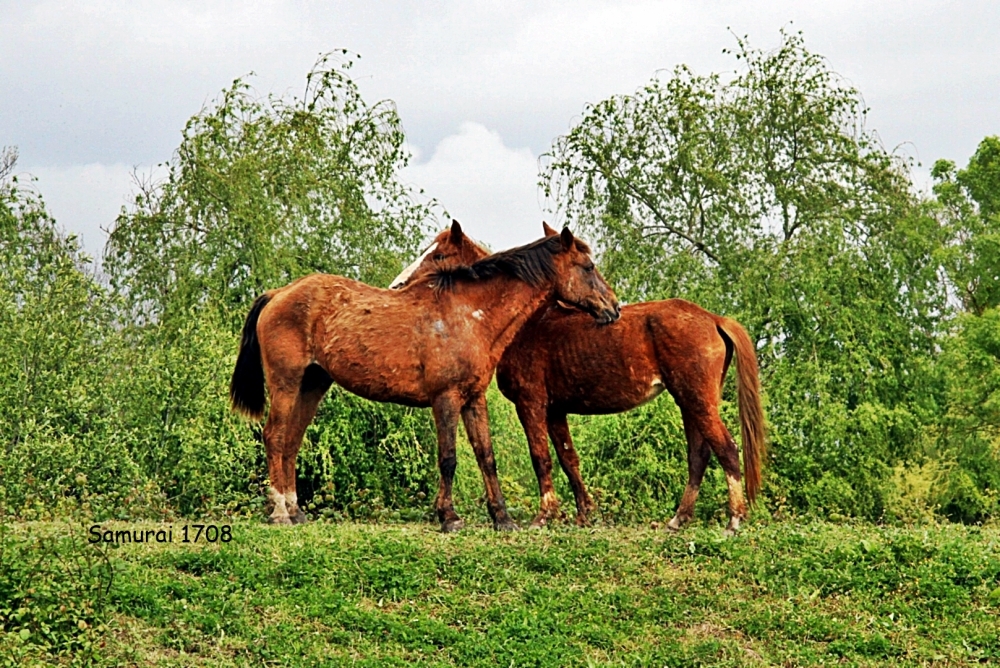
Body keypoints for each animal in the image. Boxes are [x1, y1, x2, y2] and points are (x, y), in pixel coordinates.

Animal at [229, 230, 616, 532]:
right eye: (588, 267)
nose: (612, 307)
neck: (470, 315)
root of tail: (279, 294)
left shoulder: (474, 399)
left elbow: (486, 456)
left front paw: (502, 518)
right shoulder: (445, 399)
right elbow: (448, 458)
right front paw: (449, 517)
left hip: (312, 384)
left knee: (292, 441)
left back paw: (296, 512)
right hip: (286, 382)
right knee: (275, 436)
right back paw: (280, 513)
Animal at [392, 222, 764, 536]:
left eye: (439, 255)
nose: (398, 285)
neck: (528, 324)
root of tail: (714, 319)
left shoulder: (531, 404)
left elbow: (540, 456)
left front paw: (545, 516)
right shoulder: (556, 410)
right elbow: (568, 458)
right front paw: (584, 513)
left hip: (697, 400)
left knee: (727, 449)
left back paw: (734, 520)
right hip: (690, 402)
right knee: (698, 455)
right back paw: (679, 518)